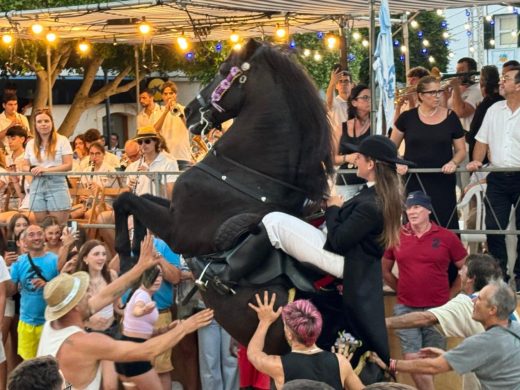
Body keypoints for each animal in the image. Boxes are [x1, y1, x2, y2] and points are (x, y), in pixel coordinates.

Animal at [114, 40, 380, 366]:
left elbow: (125, 200)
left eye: (222, 70)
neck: (245, 175)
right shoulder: (173, 211)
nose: (188, 112)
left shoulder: (178, 230)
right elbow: (136, 199)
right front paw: (137, 253)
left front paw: (125, 260)